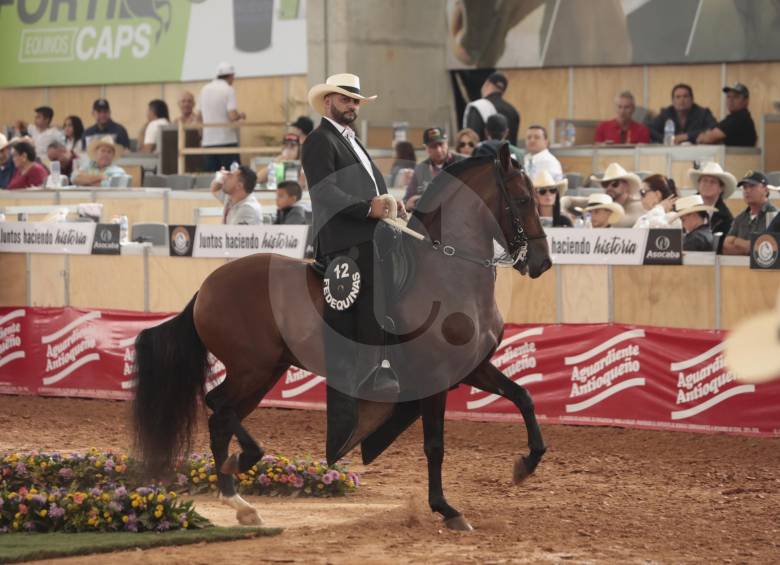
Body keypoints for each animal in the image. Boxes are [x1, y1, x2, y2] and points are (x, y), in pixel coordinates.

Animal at [132, 143, 551, 531]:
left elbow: (523, 397)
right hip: (252, 369)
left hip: (264, 373)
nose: (542, 262)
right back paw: (244, 465)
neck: (446, 271)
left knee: (221, 418)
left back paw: (240, 502)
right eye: (522, 199)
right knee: (217, 404)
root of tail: (207, 288)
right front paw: (447, 510)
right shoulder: (435, 377)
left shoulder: (473, 367)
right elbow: (435, 445)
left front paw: (526, 464)